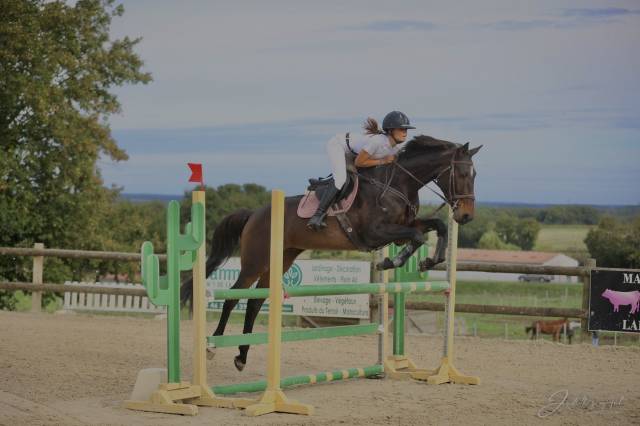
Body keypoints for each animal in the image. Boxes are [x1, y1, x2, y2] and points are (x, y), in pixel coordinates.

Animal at [181, 135, 482, 371]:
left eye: (475, 175)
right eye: (462, 175)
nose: (466, 216)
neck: (397, 184)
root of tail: (254, 213)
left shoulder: (401, 228)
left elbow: (437, 226)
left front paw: (431, 260)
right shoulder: (375, 233)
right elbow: (418, 236)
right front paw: (391, 261)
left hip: (282, 258)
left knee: (255, 302)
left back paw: (242, 356)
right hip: (256, 260)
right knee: (233, 297)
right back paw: (212, 346)